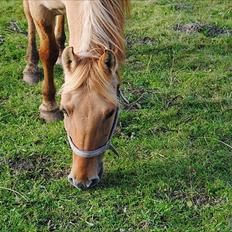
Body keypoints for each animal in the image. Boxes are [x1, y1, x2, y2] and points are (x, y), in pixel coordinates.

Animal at [22, 0, 130, 188]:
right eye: (64, 110)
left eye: (111, 112)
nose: (83, 180)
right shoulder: (39, 10)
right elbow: (48, 52)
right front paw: (48, 107)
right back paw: (31, 67)